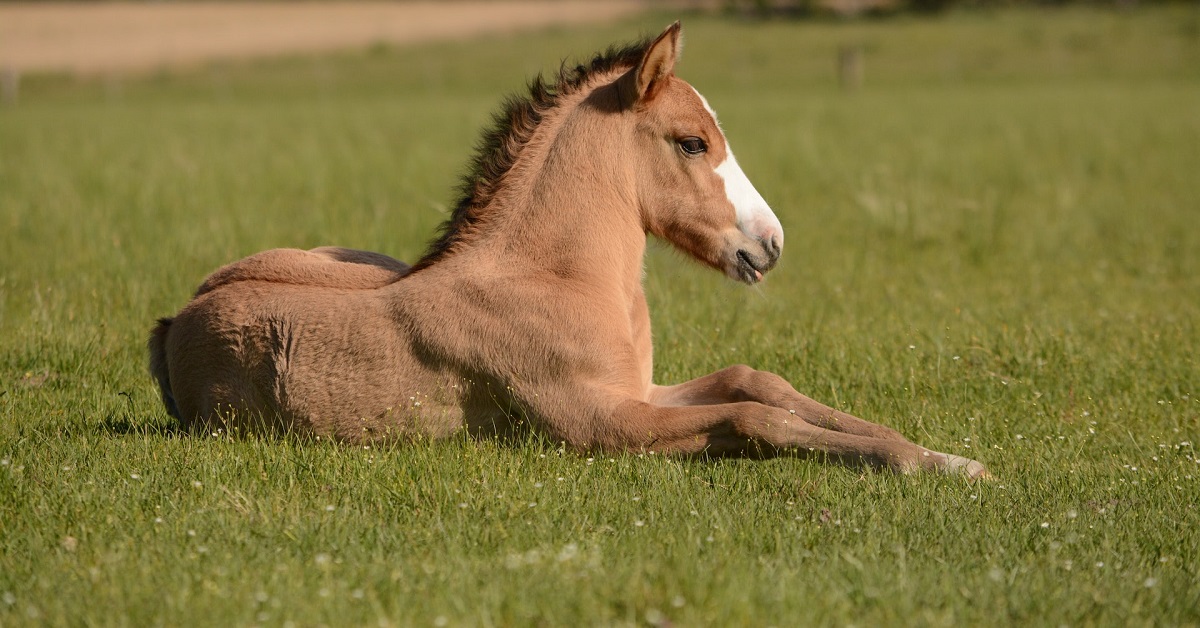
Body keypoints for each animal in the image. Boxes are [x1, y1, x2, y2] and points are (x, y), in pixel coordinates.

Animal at [152, 22, 984, 480]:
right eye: (692, 141)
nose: (770, 244)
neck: (554, 279)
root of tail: (174, 320)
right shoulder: (600, 423)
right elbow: (754, 419)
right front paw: (917, 464)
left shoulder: (640, 391)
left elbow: (758, 382)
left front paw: (943, 456)